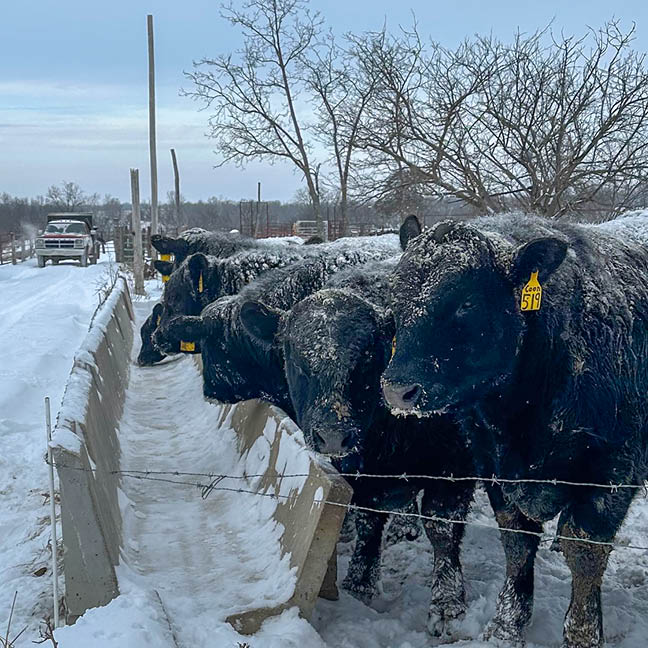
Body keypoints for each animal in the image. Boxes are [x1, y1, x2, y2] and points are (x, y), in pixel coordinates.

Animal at [381, 213, 648, 648]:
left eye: (467, 303)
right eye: (394, 298)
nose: (397, 389)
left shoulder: (613, 471)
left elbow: (585, 551)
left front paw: (582, 634)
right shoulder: (493, 464)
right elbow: (517, 544)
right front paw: (506, 626)